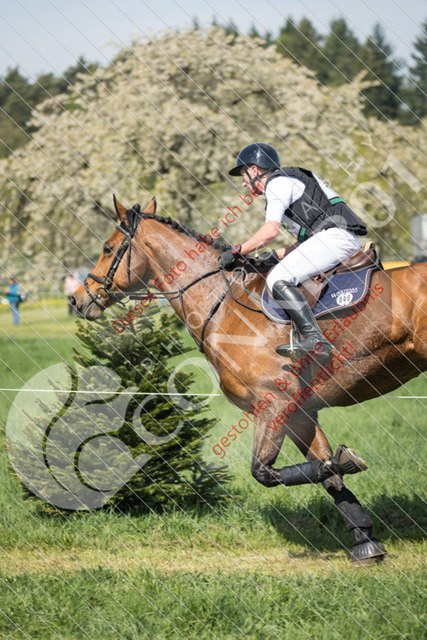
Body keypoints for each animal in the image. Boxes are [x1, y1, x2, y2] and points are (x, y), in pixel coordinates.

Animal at [72, 196, 427, 564]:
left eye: (107, 247)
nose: (77, 299)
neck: (222, 302)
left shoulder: (273, 403)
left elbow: (264, 472)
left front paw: (348, 465)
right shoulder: (299, 413)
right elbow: (329, 476)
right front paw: (365, 542)